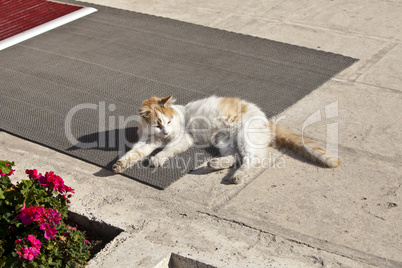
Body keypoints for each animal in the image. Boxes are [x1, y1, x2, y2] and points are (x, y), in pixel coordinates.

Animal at [112, 94, 340, 184]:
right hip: (224, 141)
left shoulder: (183, 139)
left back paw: (237, 177)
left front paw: (157, 159)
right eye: (159, 124)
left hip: (244, 137)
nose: (166, 132)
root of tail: (266, 119)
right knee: (233, 158)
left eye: (168, 121)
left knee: (253, 160)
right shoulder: (146, 143)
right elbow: (132, 154)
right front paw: (119, 165)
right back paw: (213, 165)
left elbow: (167, 150)